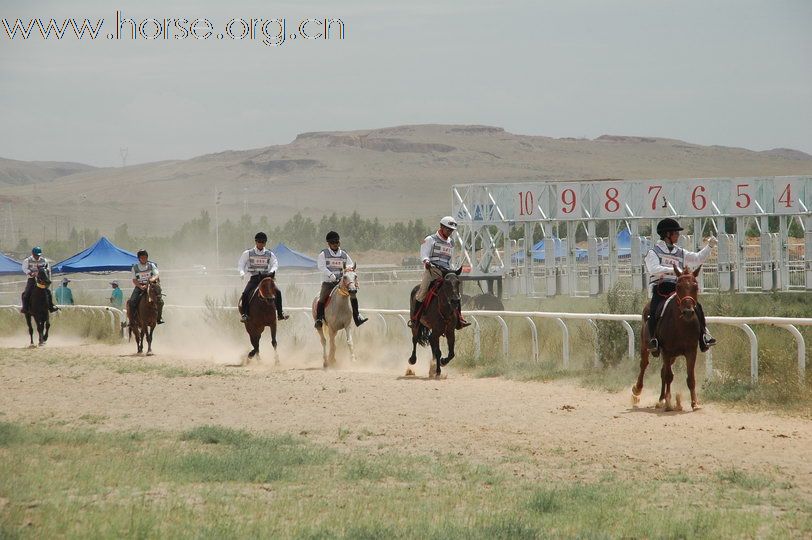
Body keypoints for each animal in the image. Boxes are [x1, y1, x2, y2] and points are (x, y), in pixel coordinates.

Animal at [632, 264, 700, 410]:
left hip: (672, 356)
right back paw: (638, 390)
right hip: (646, 346)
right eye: (678, 286)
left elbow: (690, 378)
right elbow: (669, 376)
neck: (681, 326)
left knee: (663, 370)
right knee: (644, 364)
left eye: (695, 286)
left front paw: (695, 403)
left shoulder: (691, 351)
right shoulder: (666, 350)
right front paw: (669, 402)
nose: (688, 312)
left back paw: (661, 398)